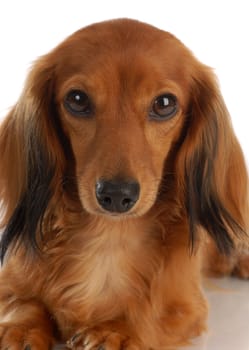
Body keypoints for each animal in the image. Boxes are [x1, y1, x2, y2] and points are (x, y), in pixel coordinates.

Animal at [0, 19, 248, 350]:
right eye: (77, 99)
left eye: (165, 103)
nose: (117, 195)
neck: (108, 237)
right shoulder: (10, 277)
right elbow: (21, 301)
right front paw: (22, 328)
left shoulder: (187, 305)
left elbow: (152, 315)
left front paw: (118, 330)